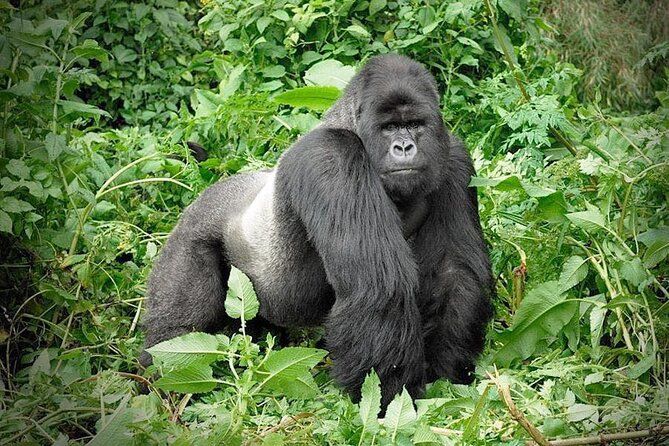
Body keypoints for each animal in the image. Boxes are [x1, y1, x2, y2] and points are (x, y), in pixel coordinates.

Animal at [141, 54, 494, 406]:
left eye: (416, 125)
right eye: (389, 127)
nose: (405, 147)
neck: (347, 123)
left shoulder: (453, 157)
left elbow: (455, 273)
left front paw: (446, 377)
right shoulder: (332, 156)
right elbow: (378, 287)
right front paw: (388, 398)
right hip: (191, 235)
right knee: (177, 330)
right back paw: (154, 387)